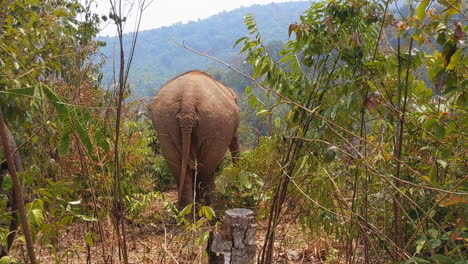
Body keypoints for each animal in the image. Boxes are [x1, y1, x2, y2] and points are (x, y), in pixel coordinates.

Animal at [153, 70, 241, 208]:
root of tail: (188, 100)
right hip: (216, 124)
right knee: (206, 170)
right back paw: (207, 208)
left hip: (164, 125)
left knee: (177, 166)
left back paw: (185, 210)